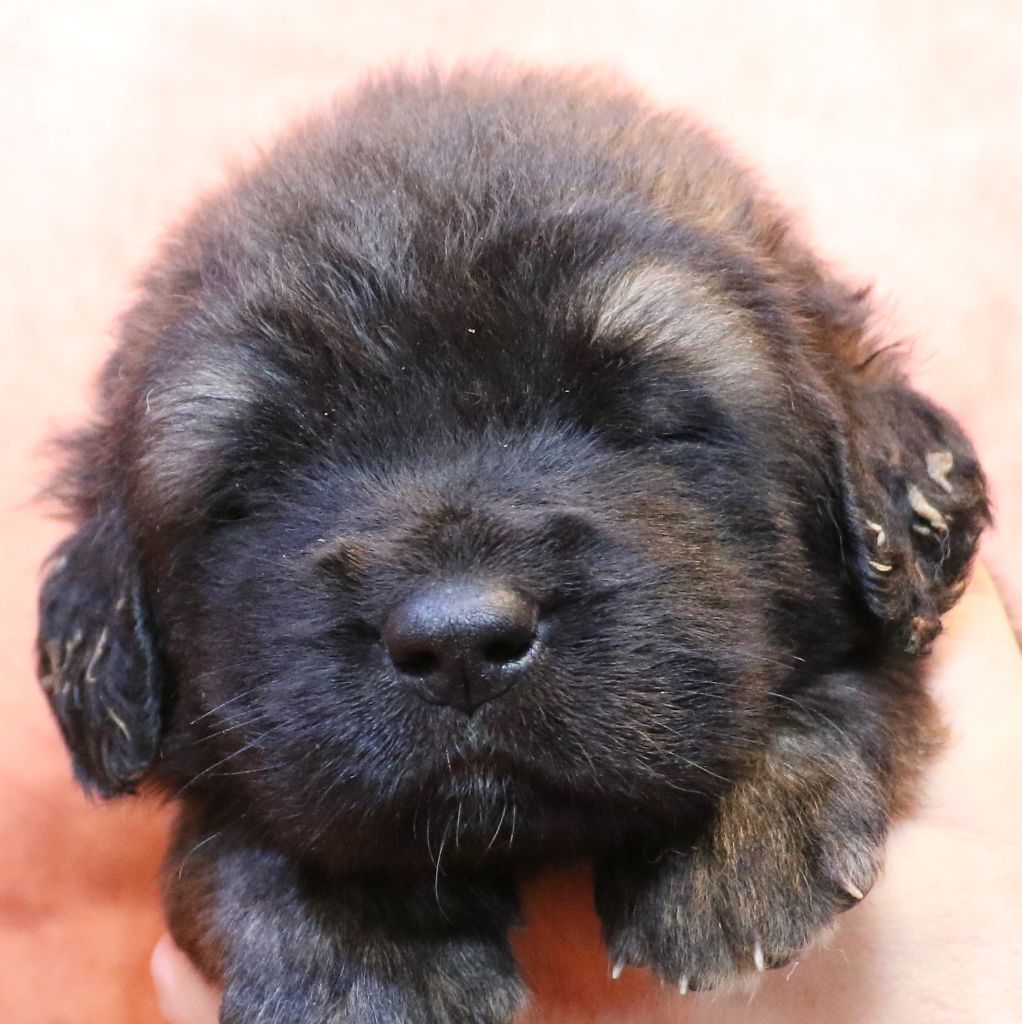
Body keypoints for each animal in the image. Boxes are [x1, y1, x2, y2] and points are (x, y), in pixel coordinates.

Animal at [36, 68, 988, 1022]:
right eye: (259, 480)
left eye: (646, 421)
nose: (459, 641)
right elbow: (247, 821)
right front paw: (364, 941)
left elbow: (867, 679)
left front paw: (741, 837)